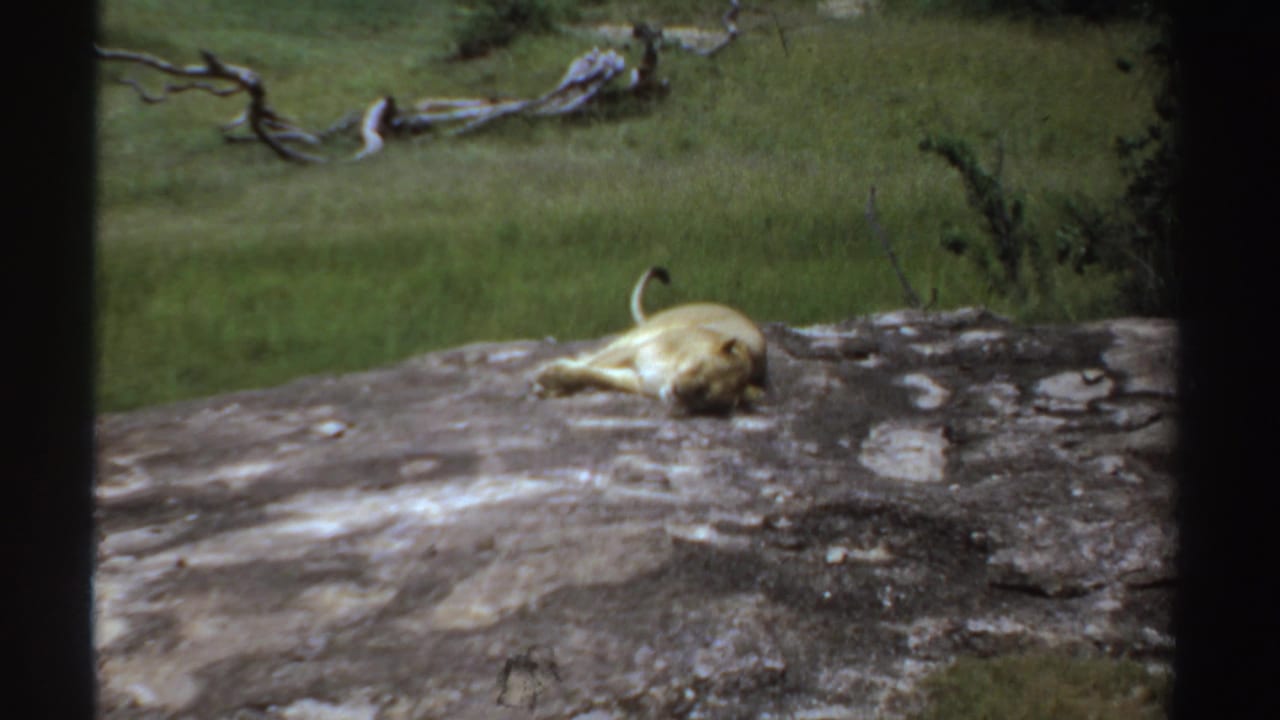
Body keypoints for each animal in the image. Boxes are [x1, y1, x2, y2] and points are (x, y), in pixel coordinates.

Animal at [531, 266, 767, 414]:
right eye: (698, 367)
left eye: (705, 395)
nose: (677, 391)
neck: (670, 371)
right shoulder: (635, 350)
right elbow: (590, 367)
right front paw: (549, 379)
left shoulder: (637, 379)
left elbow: (594, 375)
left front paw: (552, 382)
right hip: (640, 335)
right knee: (596, 353)